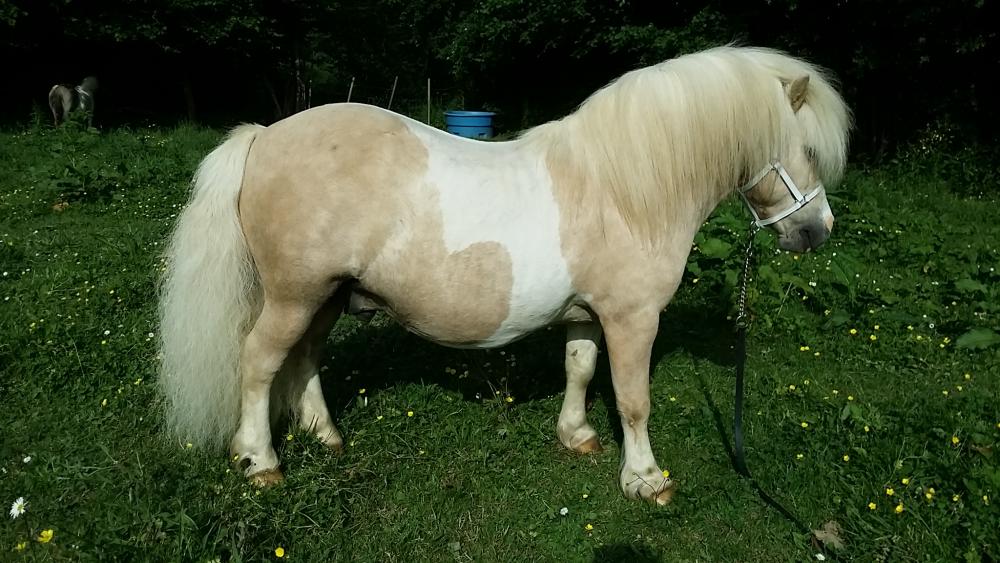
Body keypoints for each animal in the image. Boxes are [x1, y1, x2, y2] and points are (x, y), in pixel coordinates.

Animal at [157, 45, 851, 505]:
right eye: (808, 151)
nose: (816, 230)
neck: (622, 190)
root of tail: (264, 134)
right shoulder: (632, 318)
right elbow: (634, 399)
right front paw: (646, 479)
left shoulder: (587, 315)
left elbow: (580, 369)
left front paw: (577, 437)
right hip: (293, 296)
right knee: (259, 361)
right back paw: (260, 460)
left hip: (325, 297)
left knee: (303, 360)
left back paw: (326, 436)